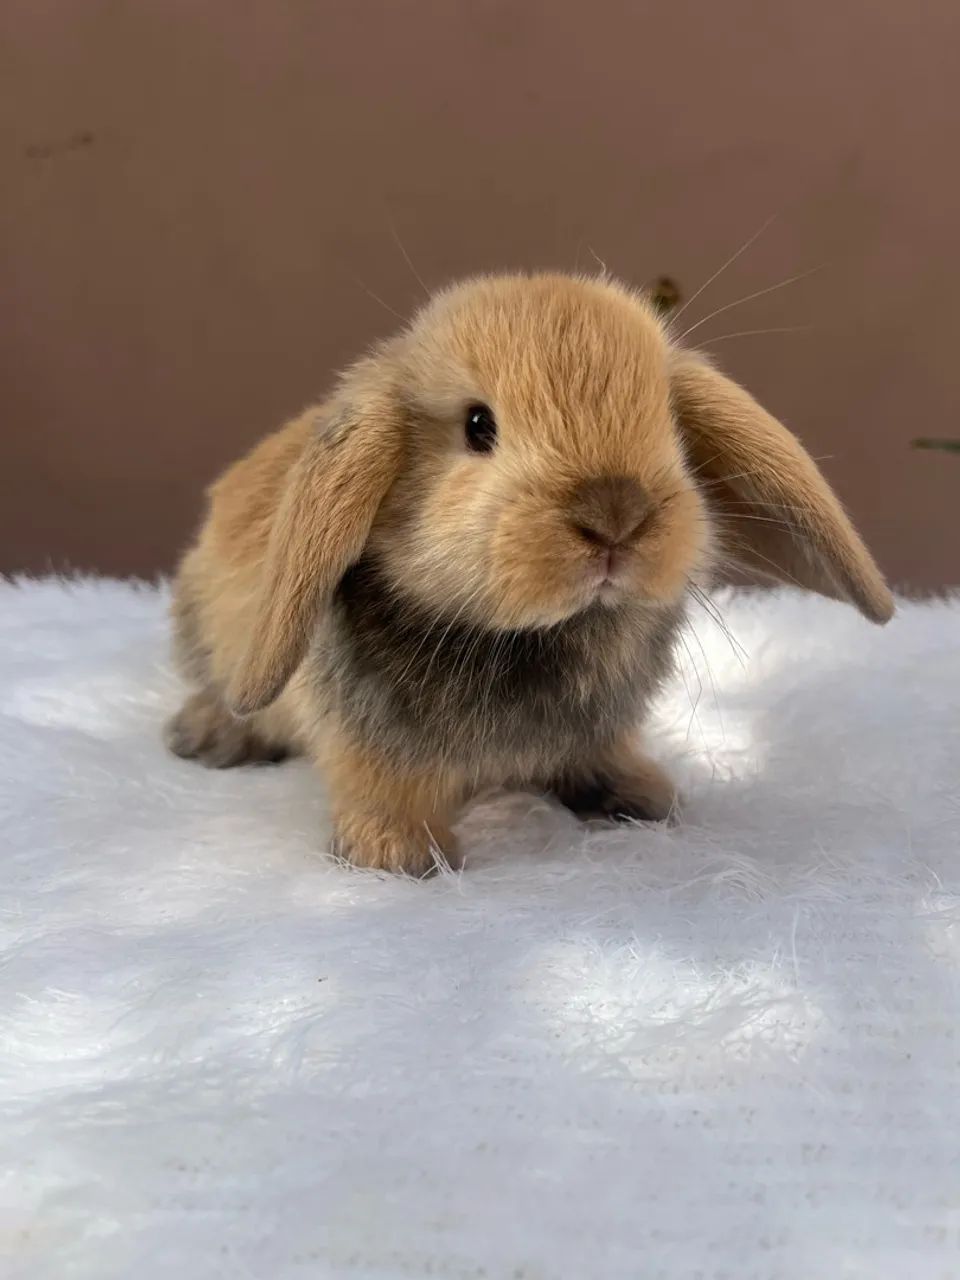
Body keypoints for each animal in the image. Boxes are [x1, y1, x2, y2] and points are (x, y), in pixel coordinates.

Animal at [164, 272, 893, 875]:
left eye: (669, 424)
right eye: (478, 426)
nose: (615, 513)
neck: (532, 638)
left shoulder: (602, 730)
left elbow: (599, 757)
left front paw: (642, 798)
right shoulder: (366, 740)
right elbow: (380, 786)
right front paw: (397, 855)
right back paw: (207, 738)